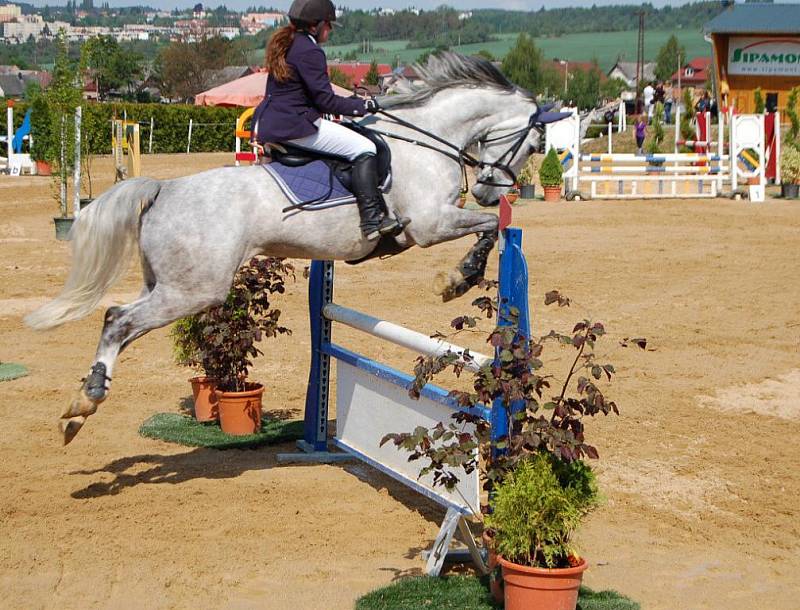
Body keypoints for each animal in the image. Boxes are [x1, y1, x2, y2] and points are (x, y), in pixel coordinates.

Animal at [28, 53, 548, 442]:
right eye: (534, 143)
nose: (490, 190)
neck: (423, 142)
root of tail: (163, 189)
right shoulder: (431, 224)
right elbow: (492, 228)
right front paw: (459, 278)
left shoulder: (434, 222)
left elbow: (493, 225)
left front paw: (461, 273)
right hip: (194, 289)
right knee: (118, 320)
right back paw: (87, 400)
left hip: (167, 283)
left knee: (121, 321)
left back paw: (80, 404)